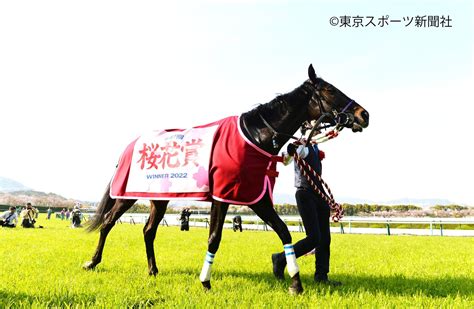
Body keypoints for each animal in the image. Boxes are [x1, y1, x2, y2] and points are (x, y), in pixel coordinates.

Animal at [84, 65, 370, 294]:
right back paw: (92, 262)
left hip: (160, 198)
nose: (363, 115)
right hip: (128, 195)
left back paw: (152, 270)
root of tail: (130, 146)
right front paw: (205, 281)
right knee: (108, 223)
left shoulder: (257, 198)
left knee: (148, 230)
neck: (256, 136)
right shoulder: (221, 196)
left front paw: (295, 282)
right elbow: (214, 238)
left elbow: (284, 231)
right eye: (330, 90)